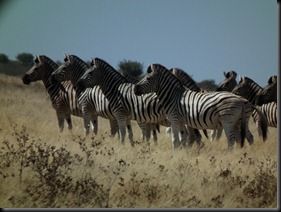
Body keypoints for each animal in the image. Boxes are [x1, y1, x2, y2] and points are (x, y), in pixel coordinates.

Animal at [133, 63, 266, 151]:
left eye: (148, 78)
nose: (134, 89)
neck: (173, 95)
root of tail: (242, 100)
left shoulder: (174, 119)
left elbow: (175, 139)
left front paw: (175, 153)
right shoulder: (182, 121)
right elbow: (183, 138)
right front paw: (182, 153)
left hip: (228, 120)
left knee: (232, 140)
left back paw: (229, 155)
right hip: (239, 121)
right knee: (247, 137)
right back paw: (243, 154)